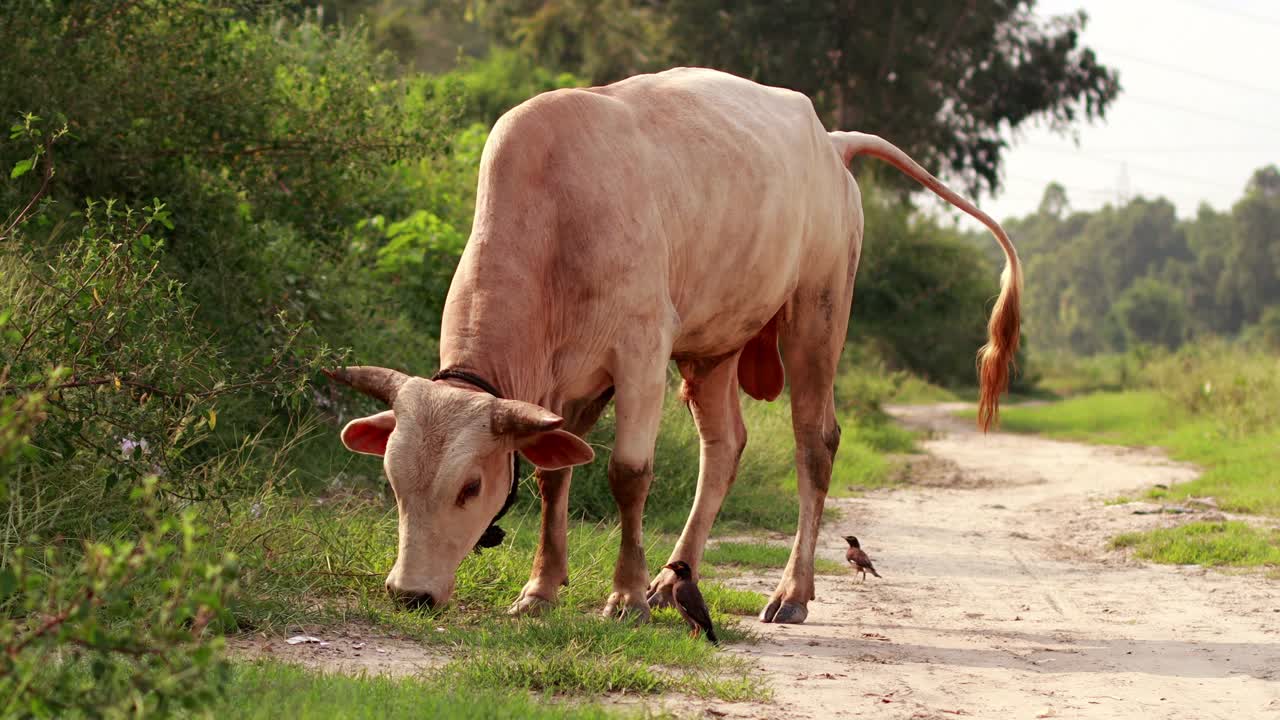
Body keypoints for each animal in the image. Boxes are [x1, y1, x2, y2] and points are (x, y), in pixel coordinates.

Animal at [327, 67, 1018, 622]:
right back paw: (671, 579)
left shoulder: (640, 352)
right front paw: (541, 590)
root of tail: (830, 141)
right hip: (713, 347)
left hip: (816, 317)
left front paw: (624, 597)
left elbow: (628, 473)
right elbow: (556, 476)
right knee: (725, 446)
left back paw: (790, 592)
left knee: (815, 443)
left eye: (470, 486)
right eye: (392, 480)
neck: (555, 217)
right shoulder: (564, 385)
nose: (409, 594)